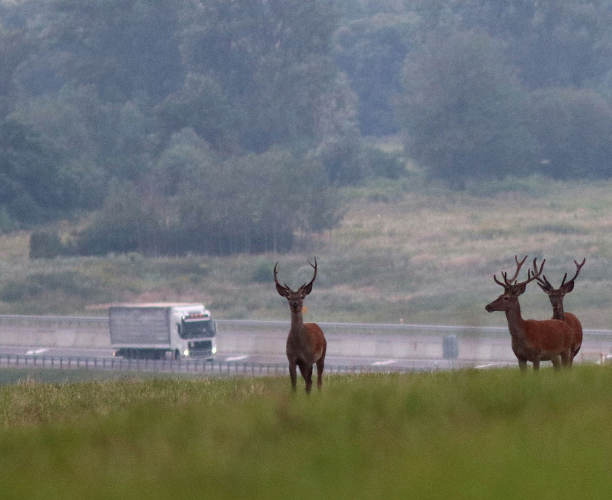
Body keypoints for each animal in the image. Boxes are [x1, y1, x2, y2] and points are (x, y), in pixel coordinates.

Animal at [274, 260, 328, 392]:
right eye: (288, 297)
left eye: (301, 296)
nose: (295, 304)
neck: (299, 346)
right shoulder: (292, 360)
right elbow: (294, 385)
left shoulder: (309, 359)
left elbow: (307, 385)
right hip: (303, 364)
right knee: (312, 381)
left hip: (322, 354)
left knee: (318, 380)